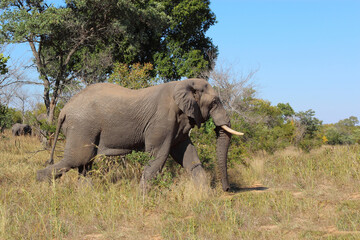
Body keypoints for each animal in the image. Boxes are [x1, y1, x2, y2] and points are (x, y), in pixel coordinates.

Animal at [36, 79, 243, 191]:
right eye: (215, 102)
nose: (227, 189)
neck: (184, 84)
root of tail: (63, 111)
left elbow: (187, 155)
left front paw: (204, 194)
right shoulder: (163, 120)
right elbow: (158, 156)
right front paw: (141, 197)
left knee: (85, 164)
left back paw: (85, 195)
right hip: (82, 126)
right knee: (77, 159)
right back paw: (40, 185)